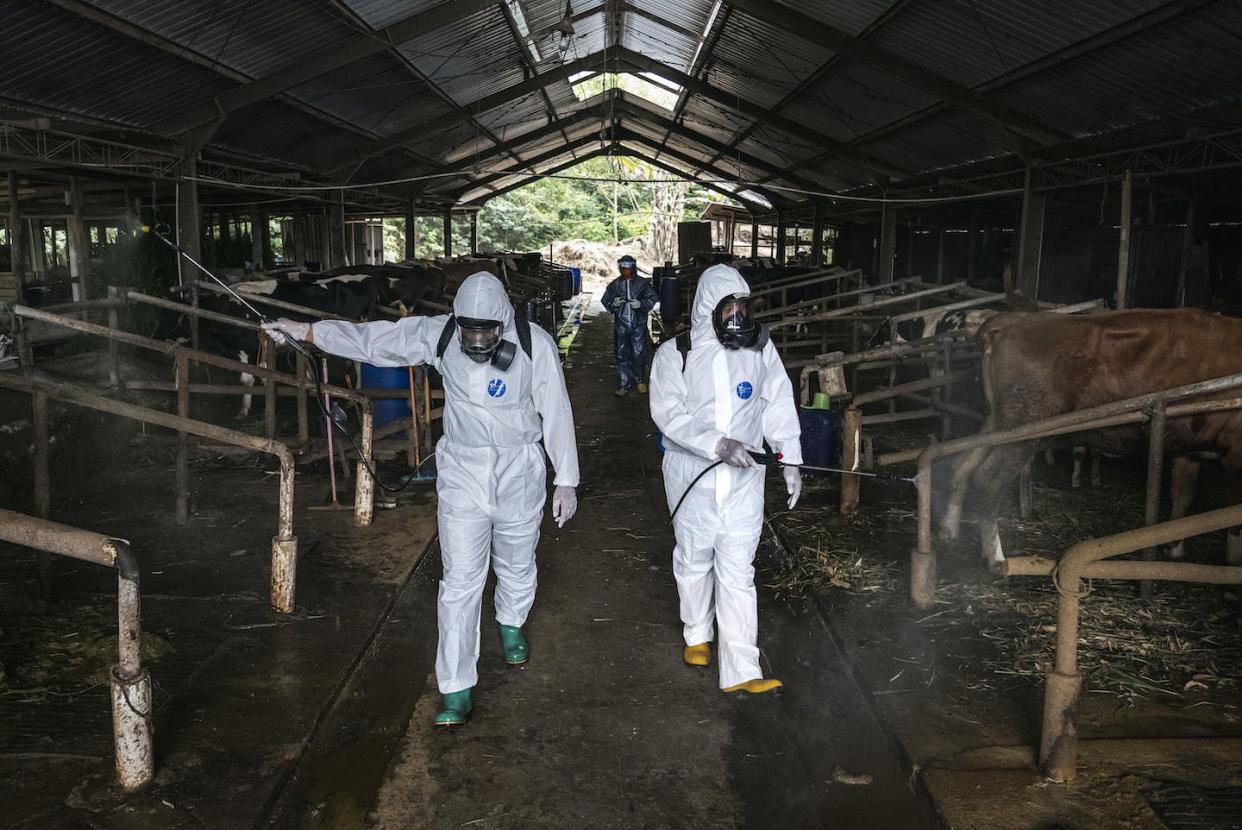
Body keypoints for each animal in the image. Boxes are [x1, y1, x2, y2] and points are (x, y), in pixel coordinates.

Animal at [938, 308, 1242, 574]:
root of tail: (1016, 319)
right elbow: (1233, 517)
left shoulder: (1188, 447)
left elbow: (1183, 498)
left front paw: (1175, 548)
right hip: (1024, 427)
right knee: (988, 479)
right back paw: (995, 559)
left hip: (998, 419)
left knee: (962, 463)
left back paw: (948, 531)